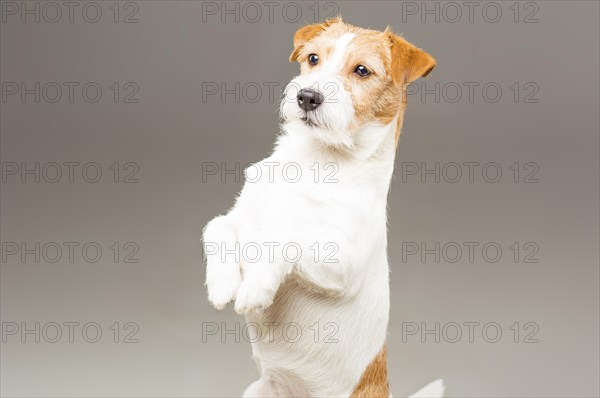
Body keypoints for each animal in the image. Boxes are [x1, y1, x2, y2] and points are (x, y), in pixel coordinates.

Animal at [204, 17, 442, 396]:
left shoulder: (342, 262)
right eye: (313, 58)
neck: (314, 161)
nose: (307, 96)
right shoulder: (242, 218)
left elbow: (285, 241)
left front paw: (256, 287)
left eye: (362, 70)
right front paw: (223, 283)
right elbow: (216, 226)